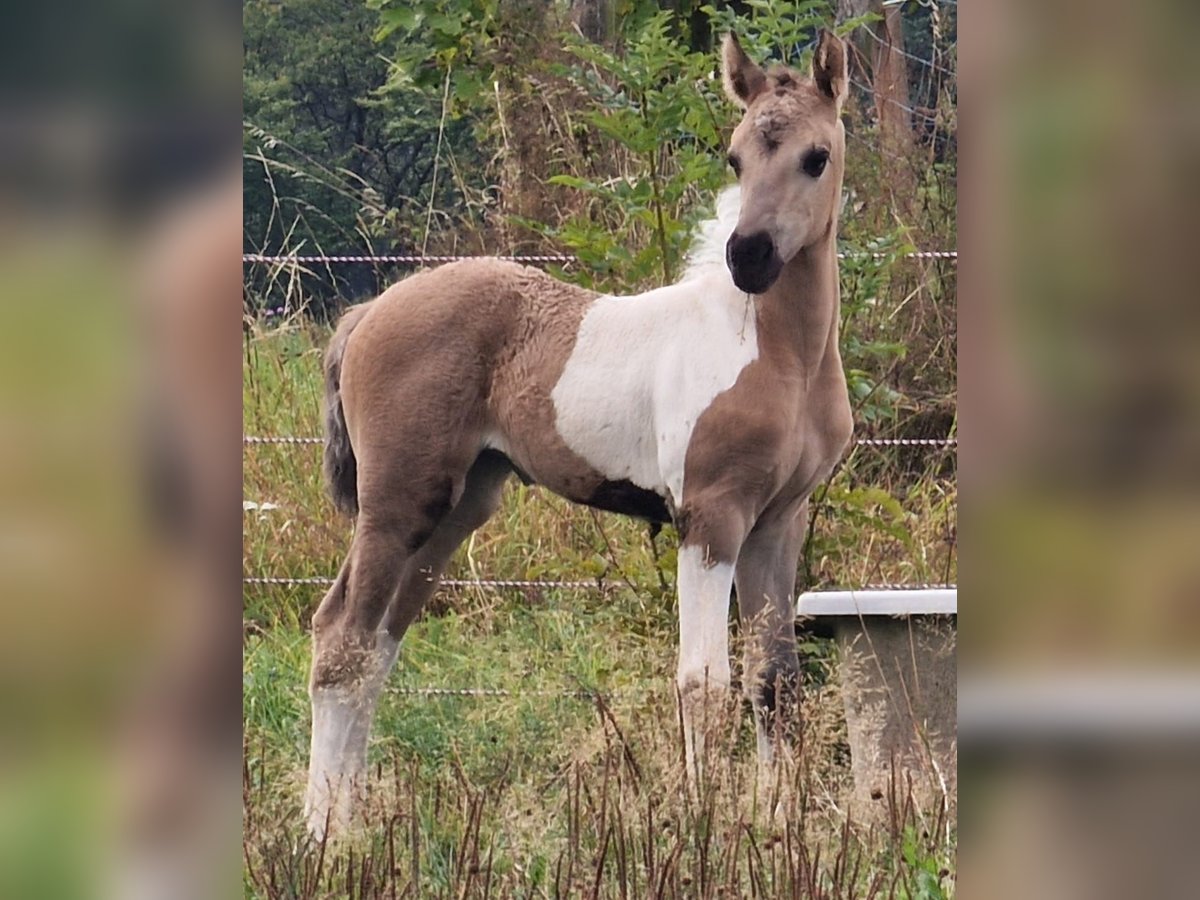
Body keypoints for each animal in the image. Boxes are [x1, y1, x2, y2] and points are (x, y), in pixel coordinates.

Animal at [307, 31, 854, 844]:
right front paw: (704, 828)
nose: (748, 256)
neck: (777, 350)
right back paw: (324, 835)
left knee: (375, 648)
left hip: (457, 509)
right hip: (398, 501)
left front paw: (778, 825)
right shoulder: (711, 516)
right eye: (734, 158)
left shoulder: (778, 521)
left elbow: (774, 678)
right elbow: (703, 679)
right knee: (341, 638)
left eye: (815, 157)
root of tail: (369, 310)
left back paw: (357, 819)